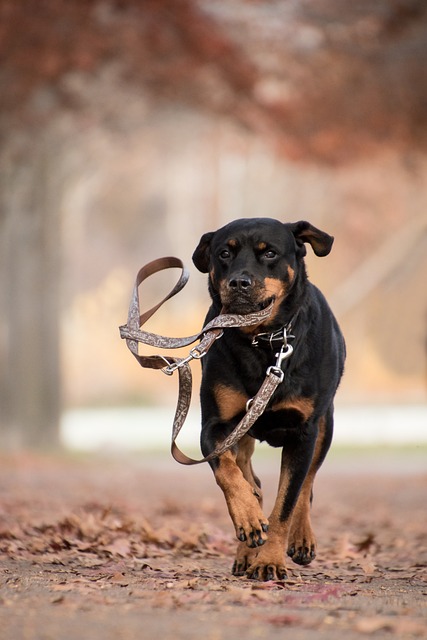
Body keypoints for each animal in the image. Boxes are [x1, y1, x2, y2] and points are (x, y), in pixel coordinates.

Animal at [192, 218, 346, 584]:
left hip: (325, 426)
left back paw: (301, 540)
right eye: (224, 253)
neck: (264, 342)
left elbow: (286, 503)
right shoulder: (214, 426)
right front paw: (248, 521)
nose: (239, 282)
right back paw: (246, 546)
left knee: (306, 485)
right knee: (253, 480)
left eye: (270, 253)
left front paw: (270, 561)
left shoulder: (304, 430)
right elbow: (228, 473)